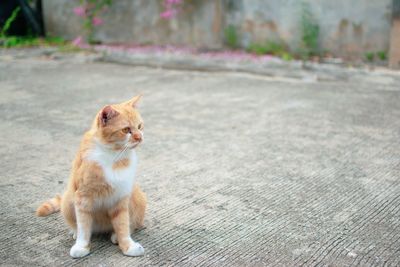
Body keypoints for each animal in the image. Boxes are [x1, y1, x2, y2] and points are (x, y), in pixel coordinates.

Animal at [36, 95, 147, 258]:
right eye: (126, 130)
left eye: (139, 126)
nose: (140, 138)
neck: (113, 155)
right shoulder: (83, 198)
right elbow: (83, 226)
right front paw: (81, 246)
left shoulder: (121, 197)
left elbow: (123, 225)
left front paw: (127, 246)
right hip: (68, 200)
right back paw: (75, 232)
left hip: (136, 197)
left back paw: (115, 235)